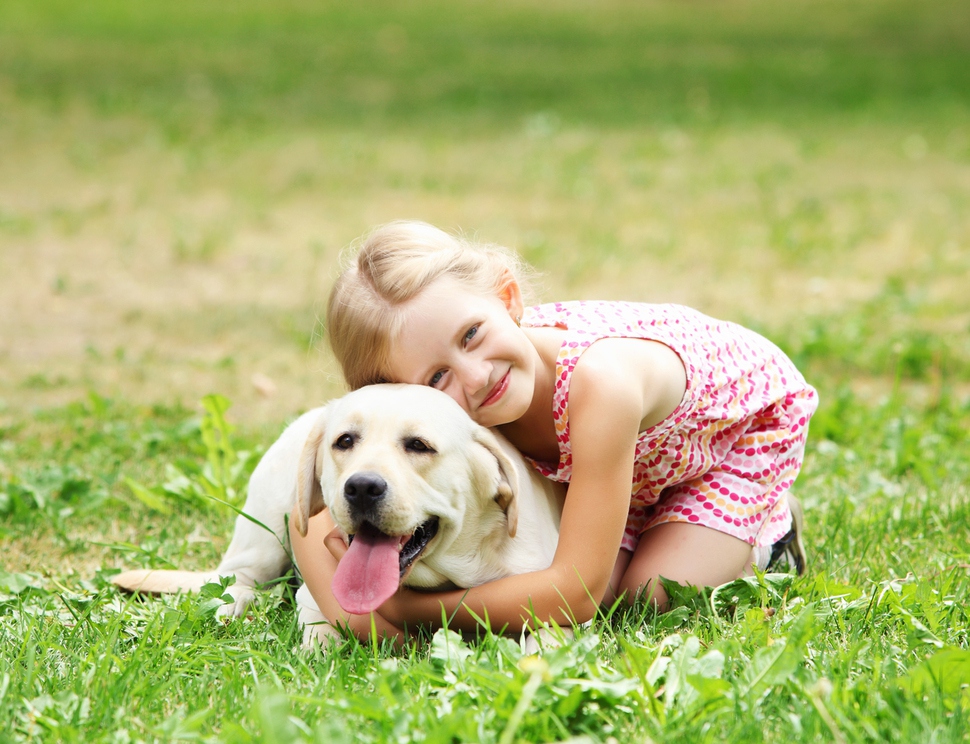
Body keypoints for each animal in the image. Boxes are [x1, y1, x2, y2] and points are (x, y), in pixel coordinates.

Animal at [111, 386, 568, 648]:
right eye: (345, 441)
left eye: (419, 445)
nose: (362, 487)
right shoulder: (317, 599)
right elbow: (319, 637)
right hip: (263, 534)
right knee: (234, 579)